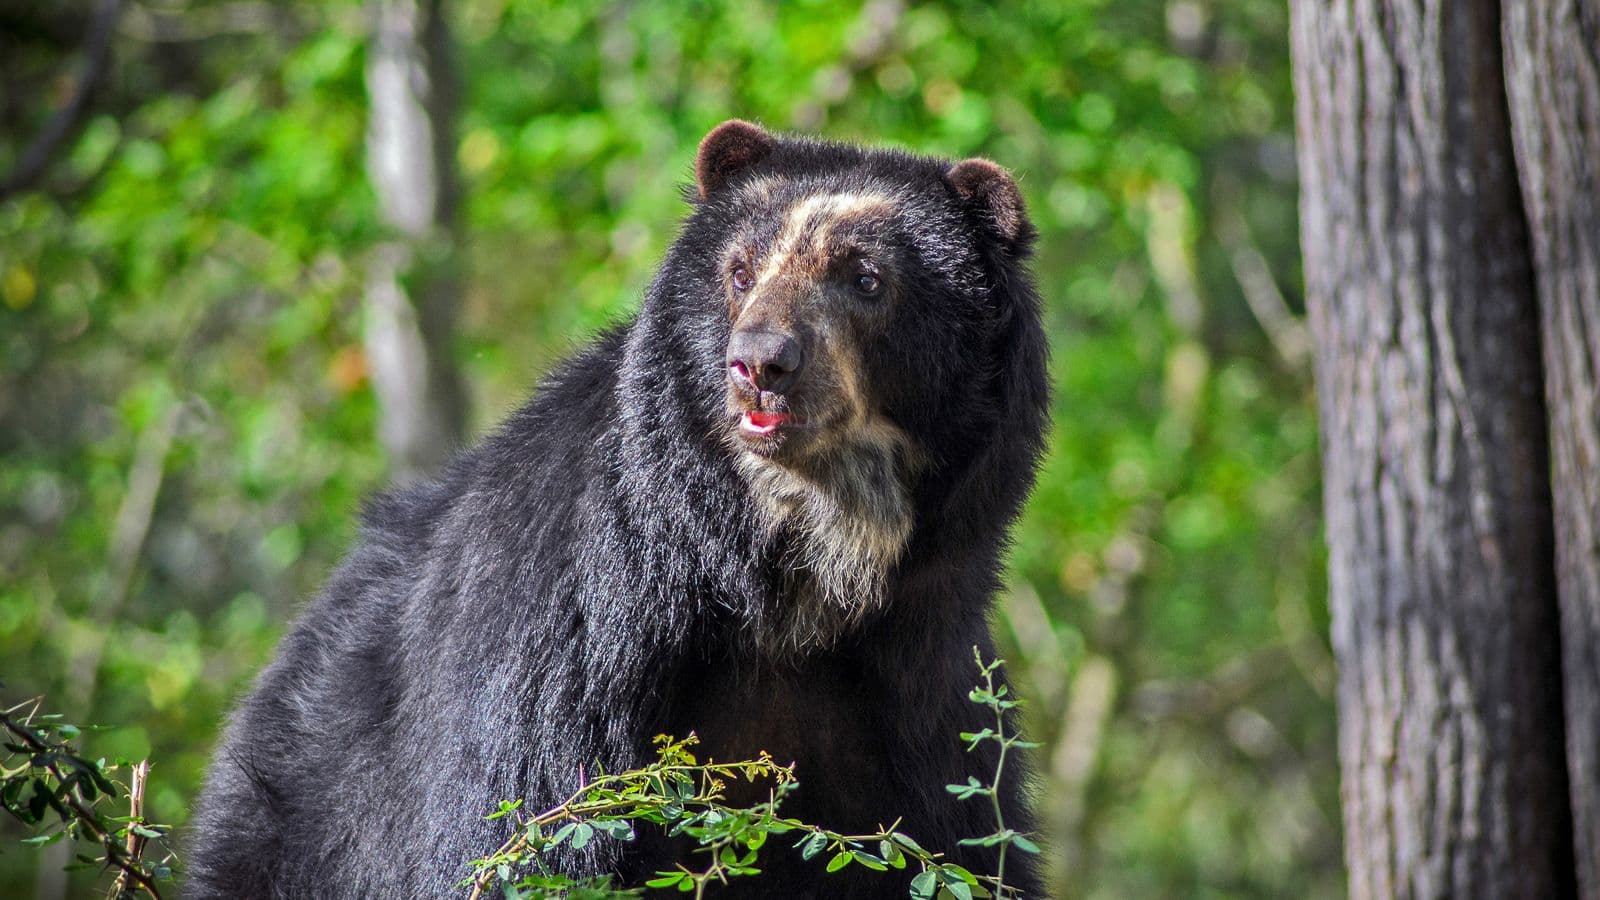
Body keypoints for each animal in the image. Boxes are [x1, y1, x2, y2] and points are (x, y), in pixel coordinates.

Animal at [184, 120, 1049, 896]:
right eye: (740, 271)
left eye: (865, 277)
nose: (761, 363)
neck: (794, 576)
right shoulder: (571, 639)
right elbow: (528, 827)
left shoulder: (922, 694)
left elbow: (952, 848)